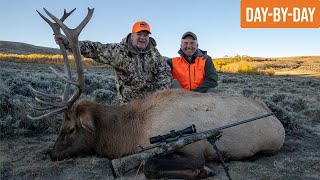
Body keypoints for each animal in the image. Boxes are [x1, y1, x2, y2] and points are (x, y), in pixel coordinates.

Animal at [29, 8, 284, 180]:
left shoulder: (194, 150)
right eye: (60, 126)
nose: (51, 153)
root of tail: (276, 118)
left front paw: (205, 170)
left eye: (71, 128)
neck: (127, 134)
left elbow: (150, 165)